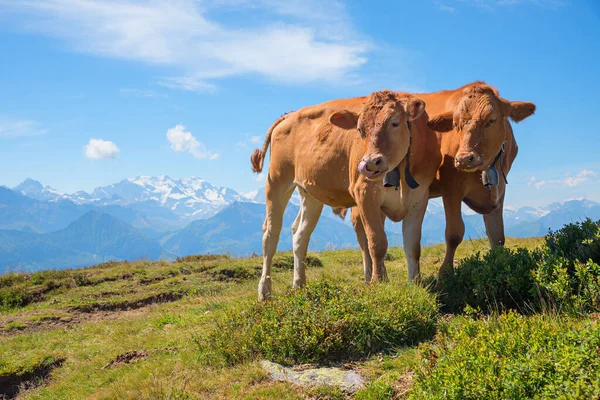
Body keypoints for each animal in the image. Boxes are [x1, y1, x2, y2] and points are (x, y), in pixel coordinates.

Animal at [250, 89, 446, 298]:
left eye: (395, 122)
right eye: (359, 130)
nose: (370, 163)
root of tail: (290, 115)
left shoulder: (419, 197)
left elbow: (413, 245)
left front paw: (415, 284)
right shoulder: (364, 193)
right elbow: (376, 242)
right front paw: (378, 282)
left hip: (309, 193)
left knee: (300, 234)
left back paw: (299, 284)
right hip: (277, 181)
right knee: (271, 233)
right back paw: (264, 291)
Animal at [344, 81, 536, 282]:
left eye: (491, 120)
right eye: (456, 124)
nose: (464, 158)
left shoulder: (499, 192)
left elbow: (497, 236)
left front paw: (501, 267)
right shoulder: (451, 187)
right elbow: (454, 233)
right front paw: (444, 274)